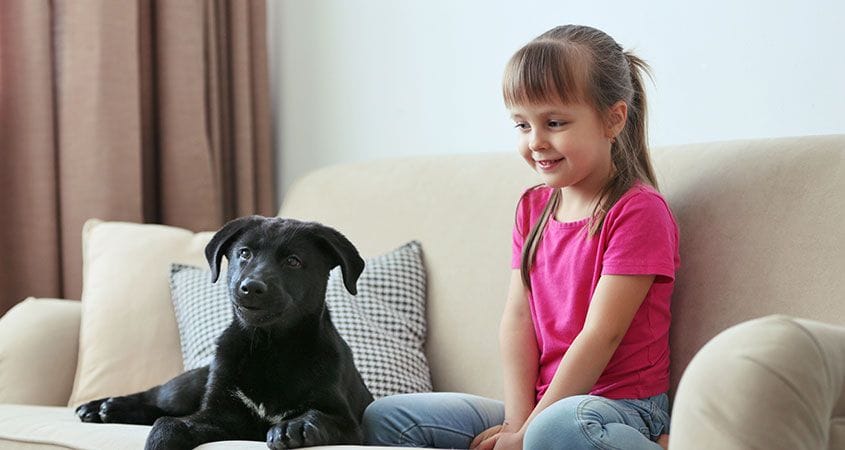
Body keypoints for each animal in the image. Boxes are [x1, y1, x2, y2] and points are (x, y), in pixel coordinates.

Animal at [76, 216, 372, 448]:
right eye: (244, 253)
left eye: (293, 261)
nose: (251, 287)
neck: (269, 347)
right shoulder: (219, 414)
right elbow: (168, 423)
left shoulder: (350, 427)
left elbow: (320, 416)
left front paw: (294, 426)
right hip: (193, 382)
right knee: (159, 398)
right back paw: (102, 407)